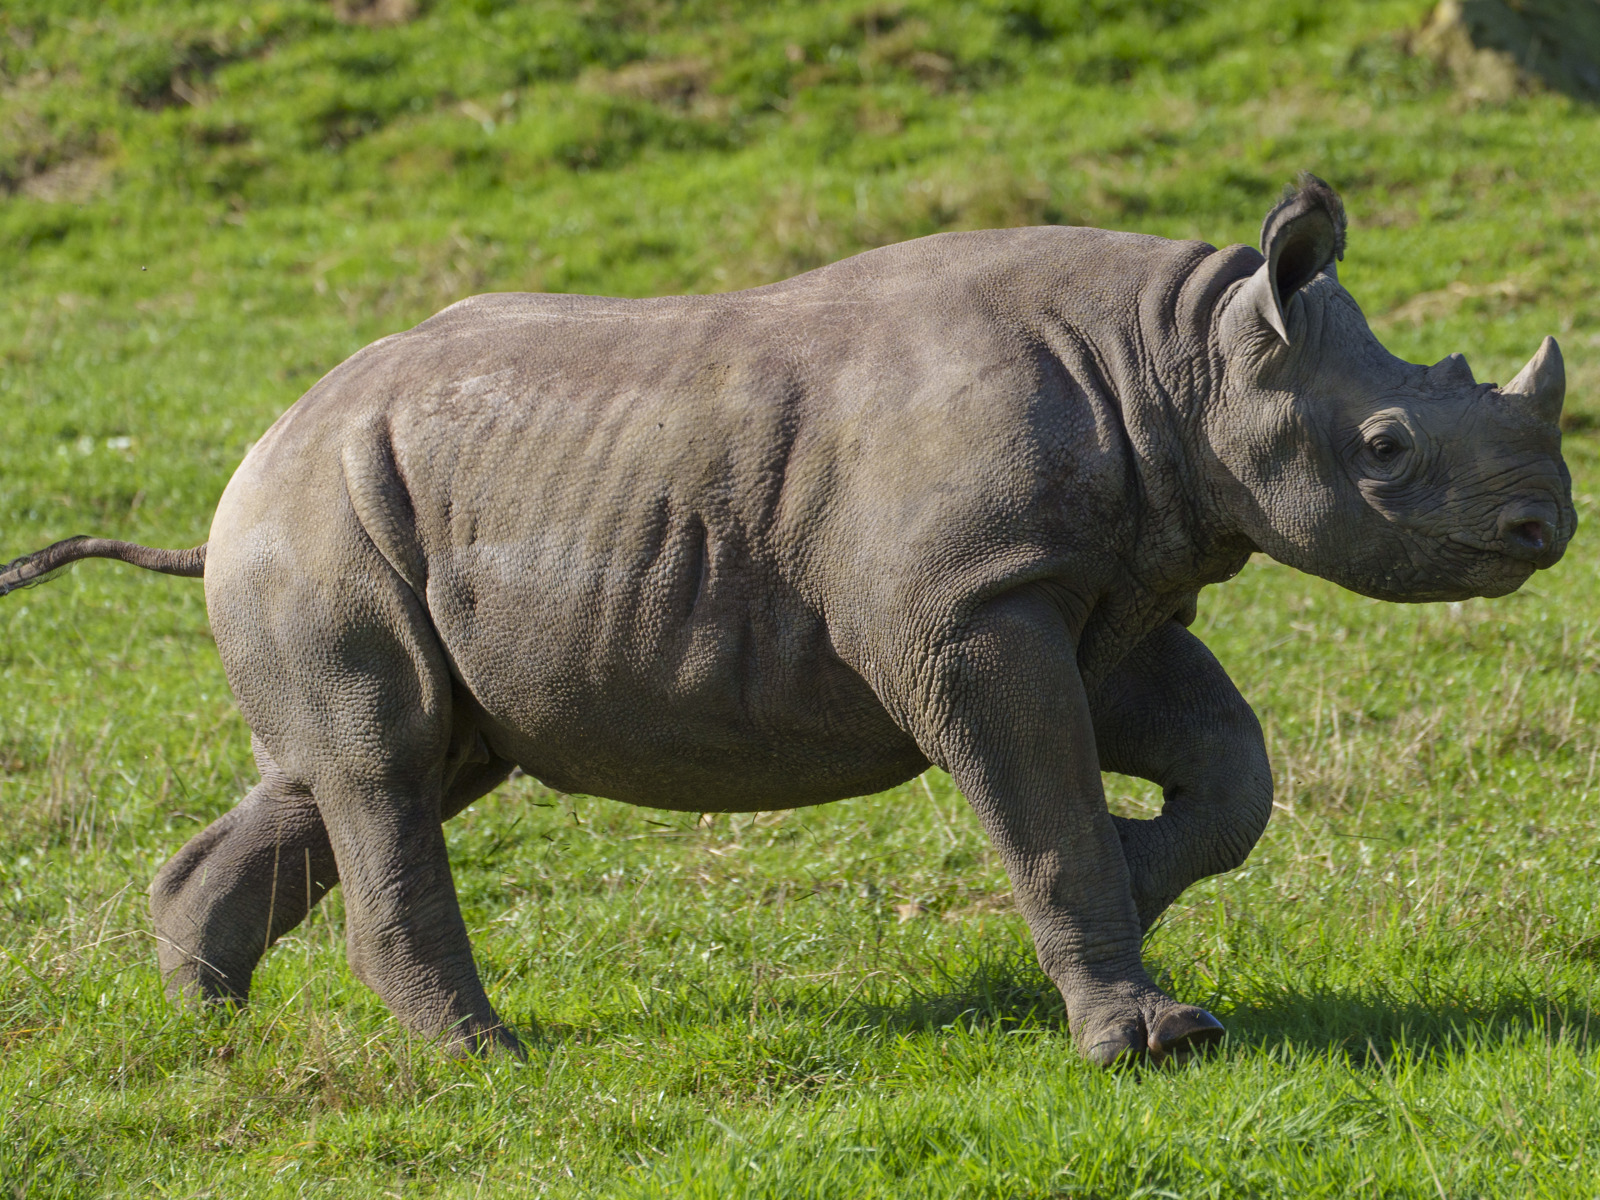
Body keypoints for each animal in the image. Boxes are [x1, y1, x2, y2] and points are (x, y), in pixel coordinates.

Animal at [0, 175, 1574, 1066]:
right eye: (1383, 449)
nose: (1542, 533)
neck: (1182, 354)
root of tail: (254, 448)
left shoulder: (1098, 580)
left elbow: (1226, 764)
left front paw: (1142, 880)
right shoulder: (968, 603)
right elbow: (1046, 804)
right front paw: (1151, 1037)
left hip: (366, 514)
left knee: (383, 764)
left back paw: (209, 1024)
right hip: (321, 512)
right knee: (385, 771)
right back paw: (484, 1066)